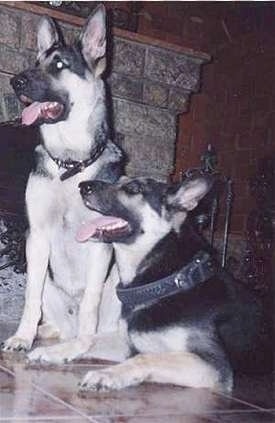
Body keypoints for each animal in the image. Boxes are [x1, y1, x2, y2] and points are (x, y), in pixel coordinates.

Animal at [1, 4, 125, 364]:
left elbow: (89, 306)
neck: (70, 165)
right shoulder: (37, 238)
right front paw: (22, 337)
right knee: (49, 314)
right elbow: (30, 298)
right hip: (46, 280)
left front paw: (79, 348)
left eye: (59, 65)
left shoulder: (100, 241)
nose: (14, 81)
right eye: (36, 60)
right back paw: (42, 334)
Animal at [76, 176, 270, 394]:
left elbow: (145, 358)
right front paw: (57, 351)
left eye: (134, 188)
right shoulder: (127, 344)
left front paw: (106, 375)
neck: (170, 282)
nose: (83, 186)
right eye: (119, 180)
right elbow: (86, 339)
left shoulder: (211, 365)